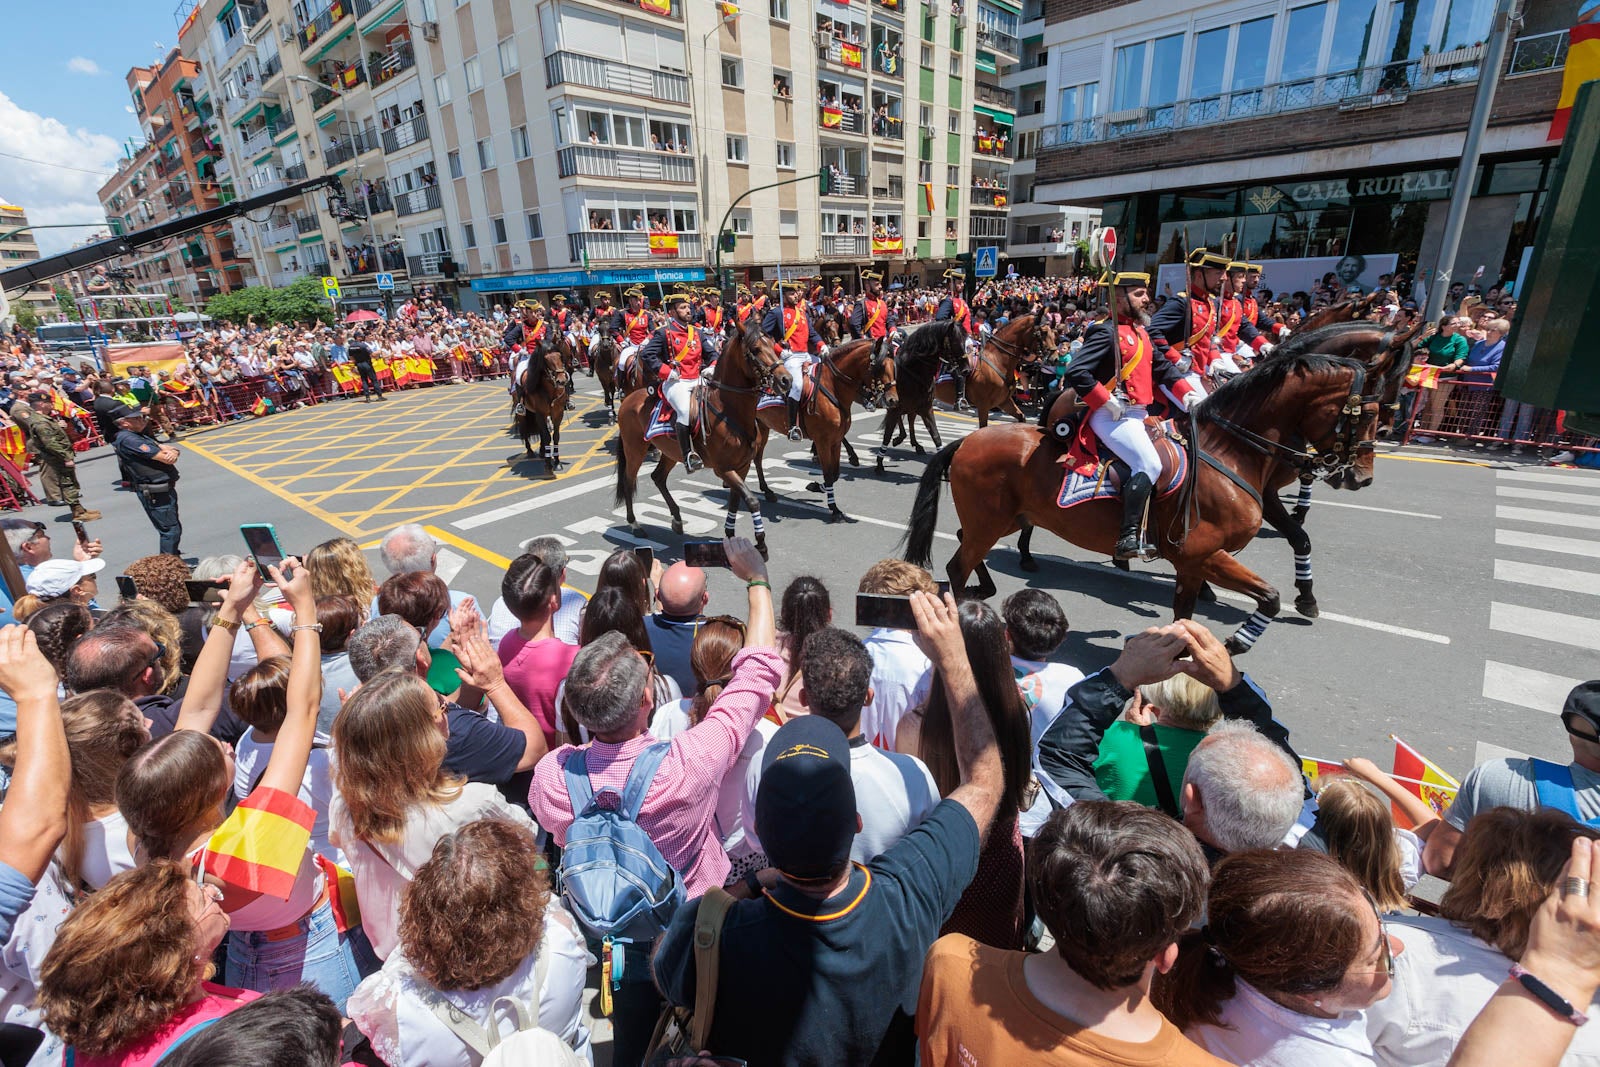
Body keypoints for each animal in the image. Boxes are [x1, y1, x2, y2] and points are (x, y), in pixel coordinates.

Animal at [611, 323, 787, 559]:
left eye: (773, 344)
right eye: (756, 349)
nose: (786, 380)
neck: (728, 410)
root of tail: (628, 399)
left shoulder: (741, 466)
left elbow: (734, 500)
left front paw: (730, 535)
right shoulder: (723, 469)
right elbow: (751, 500)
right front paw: (760, 543)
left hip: (670, 452)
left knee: (658, 477)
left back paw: (676, 519)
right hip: (635, 450)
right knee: (629, 481)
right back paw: (635, 525)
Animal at [752, 340, 902, 524]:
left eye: (894, 367)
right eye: (879, 368)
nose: (893, 400)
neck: (832, 385)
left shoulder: (835, 441)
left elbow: (835, 473)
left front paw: (816, 486)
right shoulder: (822, 441)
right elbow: (829, 474)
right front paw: (834, 509)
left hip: (763, 426)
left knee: (757, 458)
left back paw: (767, 491)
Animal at [915, 351, 1388, 652]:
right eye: (1364, 413)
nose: (1361, 478)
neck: (1227, 453)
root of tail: (967, 440)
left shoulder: (1193, 563)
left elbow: (1185, 614)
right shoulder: (1204, 553)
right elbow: (1269, 597)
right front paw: (1236, 642)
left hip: (1004, 519)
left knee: (966, 544)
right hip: (992, 521)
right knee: (956, 566)